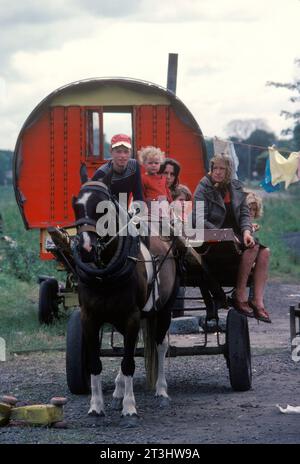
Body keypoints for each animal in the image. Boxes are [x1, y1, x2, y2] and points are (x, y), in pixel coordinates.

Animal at [71, 179, 178, 426]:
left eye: (102, 208)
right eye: (76, 207)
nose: (86, 249)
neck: (106, 275)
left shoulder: (131, 316)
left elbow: (129, 362)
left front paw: (130, 408)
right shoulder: (89, 317)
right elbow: (96, 362)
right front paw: (96, 406)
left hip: (164, 311)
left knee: (160, 346)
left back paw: (161, 390)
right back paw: (119, 389)